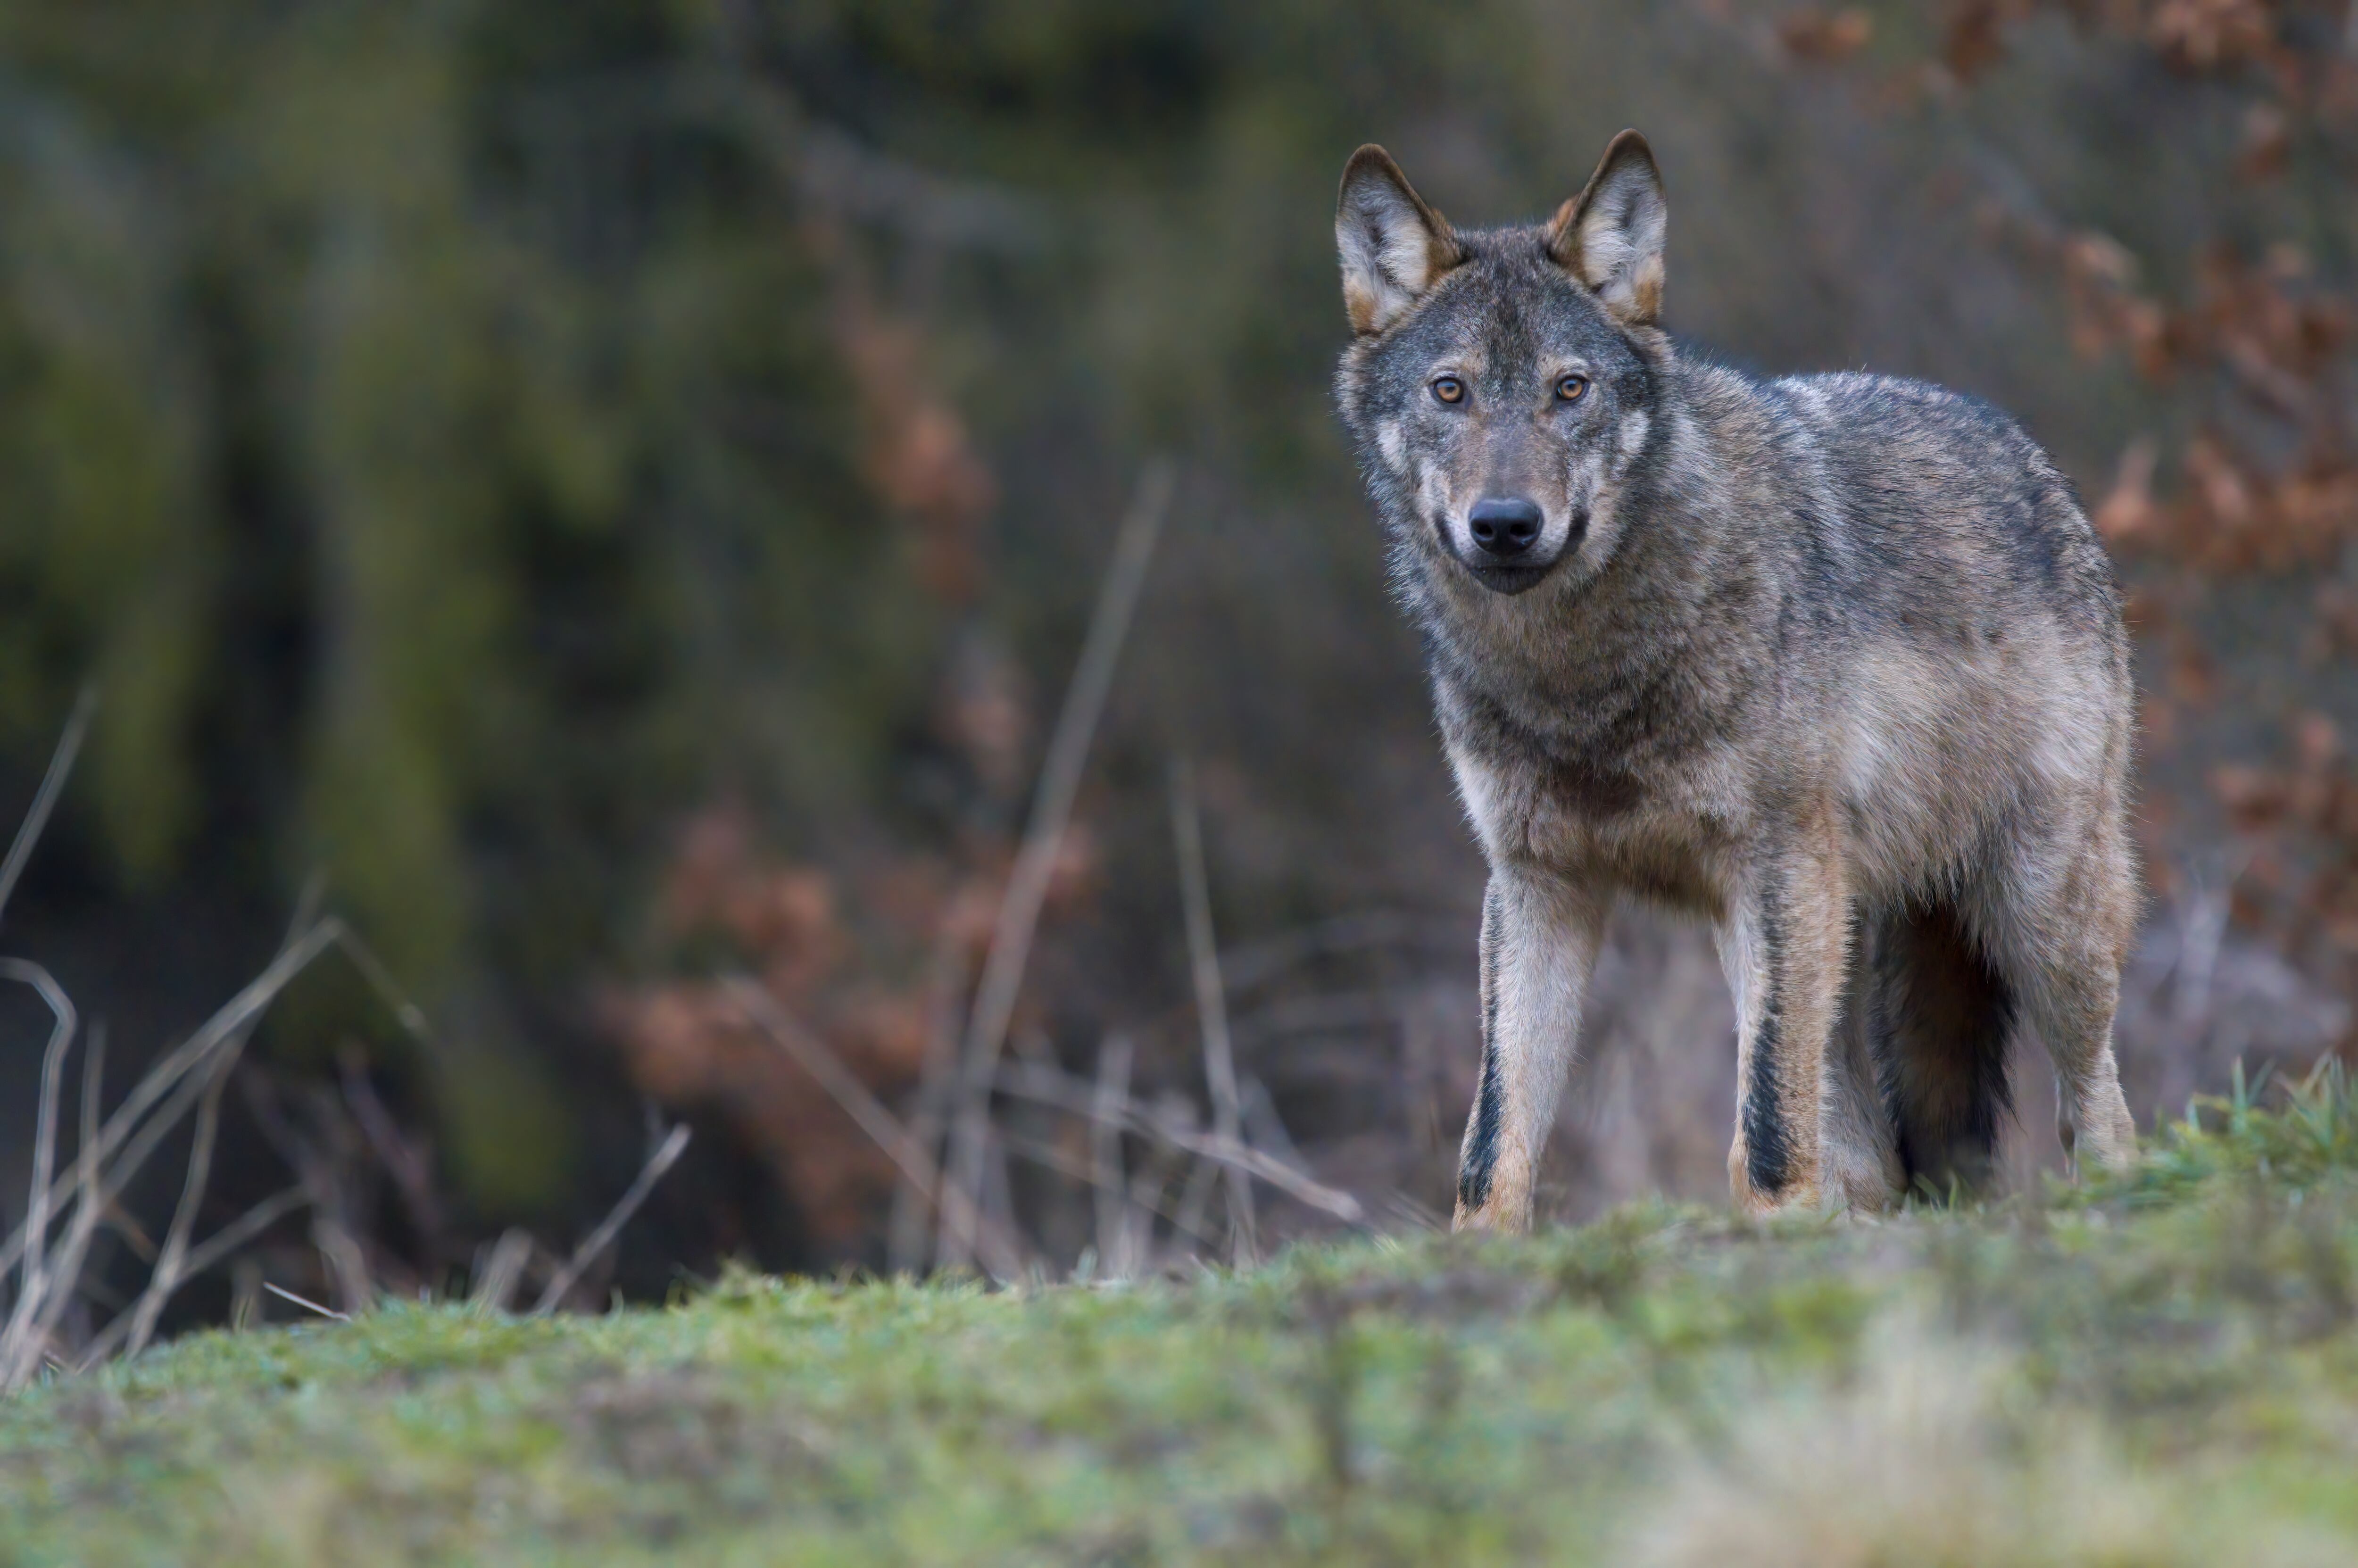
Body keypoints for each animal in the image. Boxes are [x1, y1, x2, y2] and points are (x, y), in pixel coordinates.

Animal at [1332, 130, 2140, 1229]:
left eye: (1569, 390)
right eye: (1448, 391)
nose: (1503, 524)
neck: (1584, 684)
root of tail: (2025, 453)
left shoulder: (1774, 862)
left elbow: (1761, 1128)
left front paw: (1773, 1234)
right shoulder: (1537, 886)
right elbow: (1492, 1141)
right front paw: (1480, 1252)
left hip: (2029, 913)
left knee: (2099, 1110)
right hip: (1814, 932)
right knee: (1871, 1155)